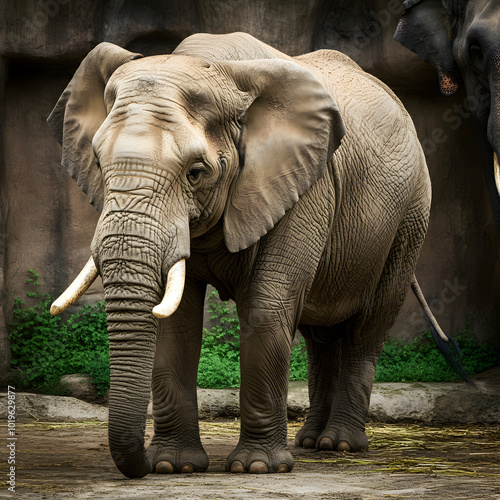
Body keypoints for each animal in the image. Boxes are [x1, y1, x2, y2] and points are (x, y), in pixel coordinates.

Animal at [47, 31, 446, 476]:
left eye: (196, 173)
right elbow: (176, 319)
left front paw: (256, 467)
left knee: (367, 327)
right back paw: (312, 443)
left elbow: (267, 308)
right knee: (320, 335)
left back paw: (341, 444)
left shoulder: (303, 185)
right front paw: (174, 466)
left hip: (410, 215)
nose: (142, 465)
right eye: (99, 164)